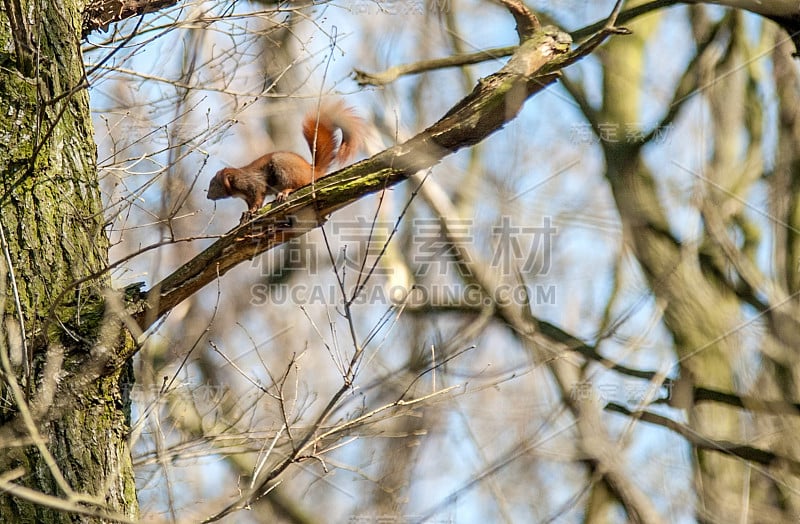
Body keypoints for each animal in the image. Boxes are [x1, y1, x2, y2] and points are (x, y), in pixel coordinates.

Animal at [208, 100, 368, 217]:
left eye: (214, 184)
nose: (208, 197)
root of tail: (312, 171)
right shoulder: (246, 196)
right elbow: (250, 203)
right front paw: (246, 213)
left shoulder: (253, 184)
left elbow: (258, 198)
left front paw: (252, 211)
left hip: (284, 168)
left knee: (297, 184)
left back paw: (285, 192)